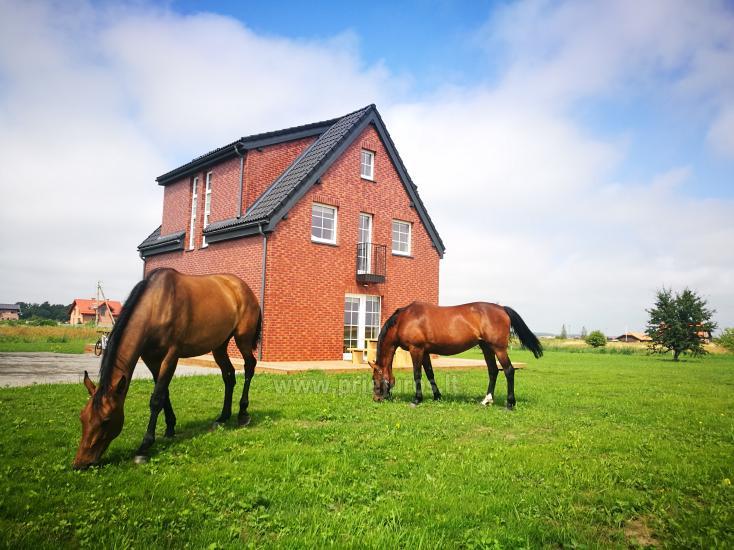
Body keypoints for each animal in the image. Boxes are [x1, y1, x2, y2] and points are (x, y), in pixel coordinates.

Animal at [73, 270, 264, 472]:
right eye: (82, 417)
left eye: (106, 420)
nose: (80, 463)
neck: (157, 305)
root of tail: (244, 288)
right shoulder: (151, 359)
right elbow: (164, 393)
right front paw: (170, 428)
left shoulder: (171, 356)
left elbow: (157, 398)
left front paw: (144, 447)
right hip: (219, 345)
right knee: (229, 376)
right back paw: (223, 417)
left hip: (243, 338)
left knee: (249, 366)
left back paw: (243, 413)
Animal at [370, 304, 544, 412]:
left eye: (374, 379)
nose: (376, 398)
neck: (403, 320)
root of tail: (502, 308)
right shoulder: (425, 351)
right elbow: (430, 373)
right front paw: (437, 396)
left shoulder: (416, 350)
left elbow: (417, 374)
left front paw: (416, 399)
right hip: (486, 347)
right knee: (493, 371)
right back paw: (486, 400)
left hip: (498, 348)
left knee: (508, 370)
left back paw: (510, 403)